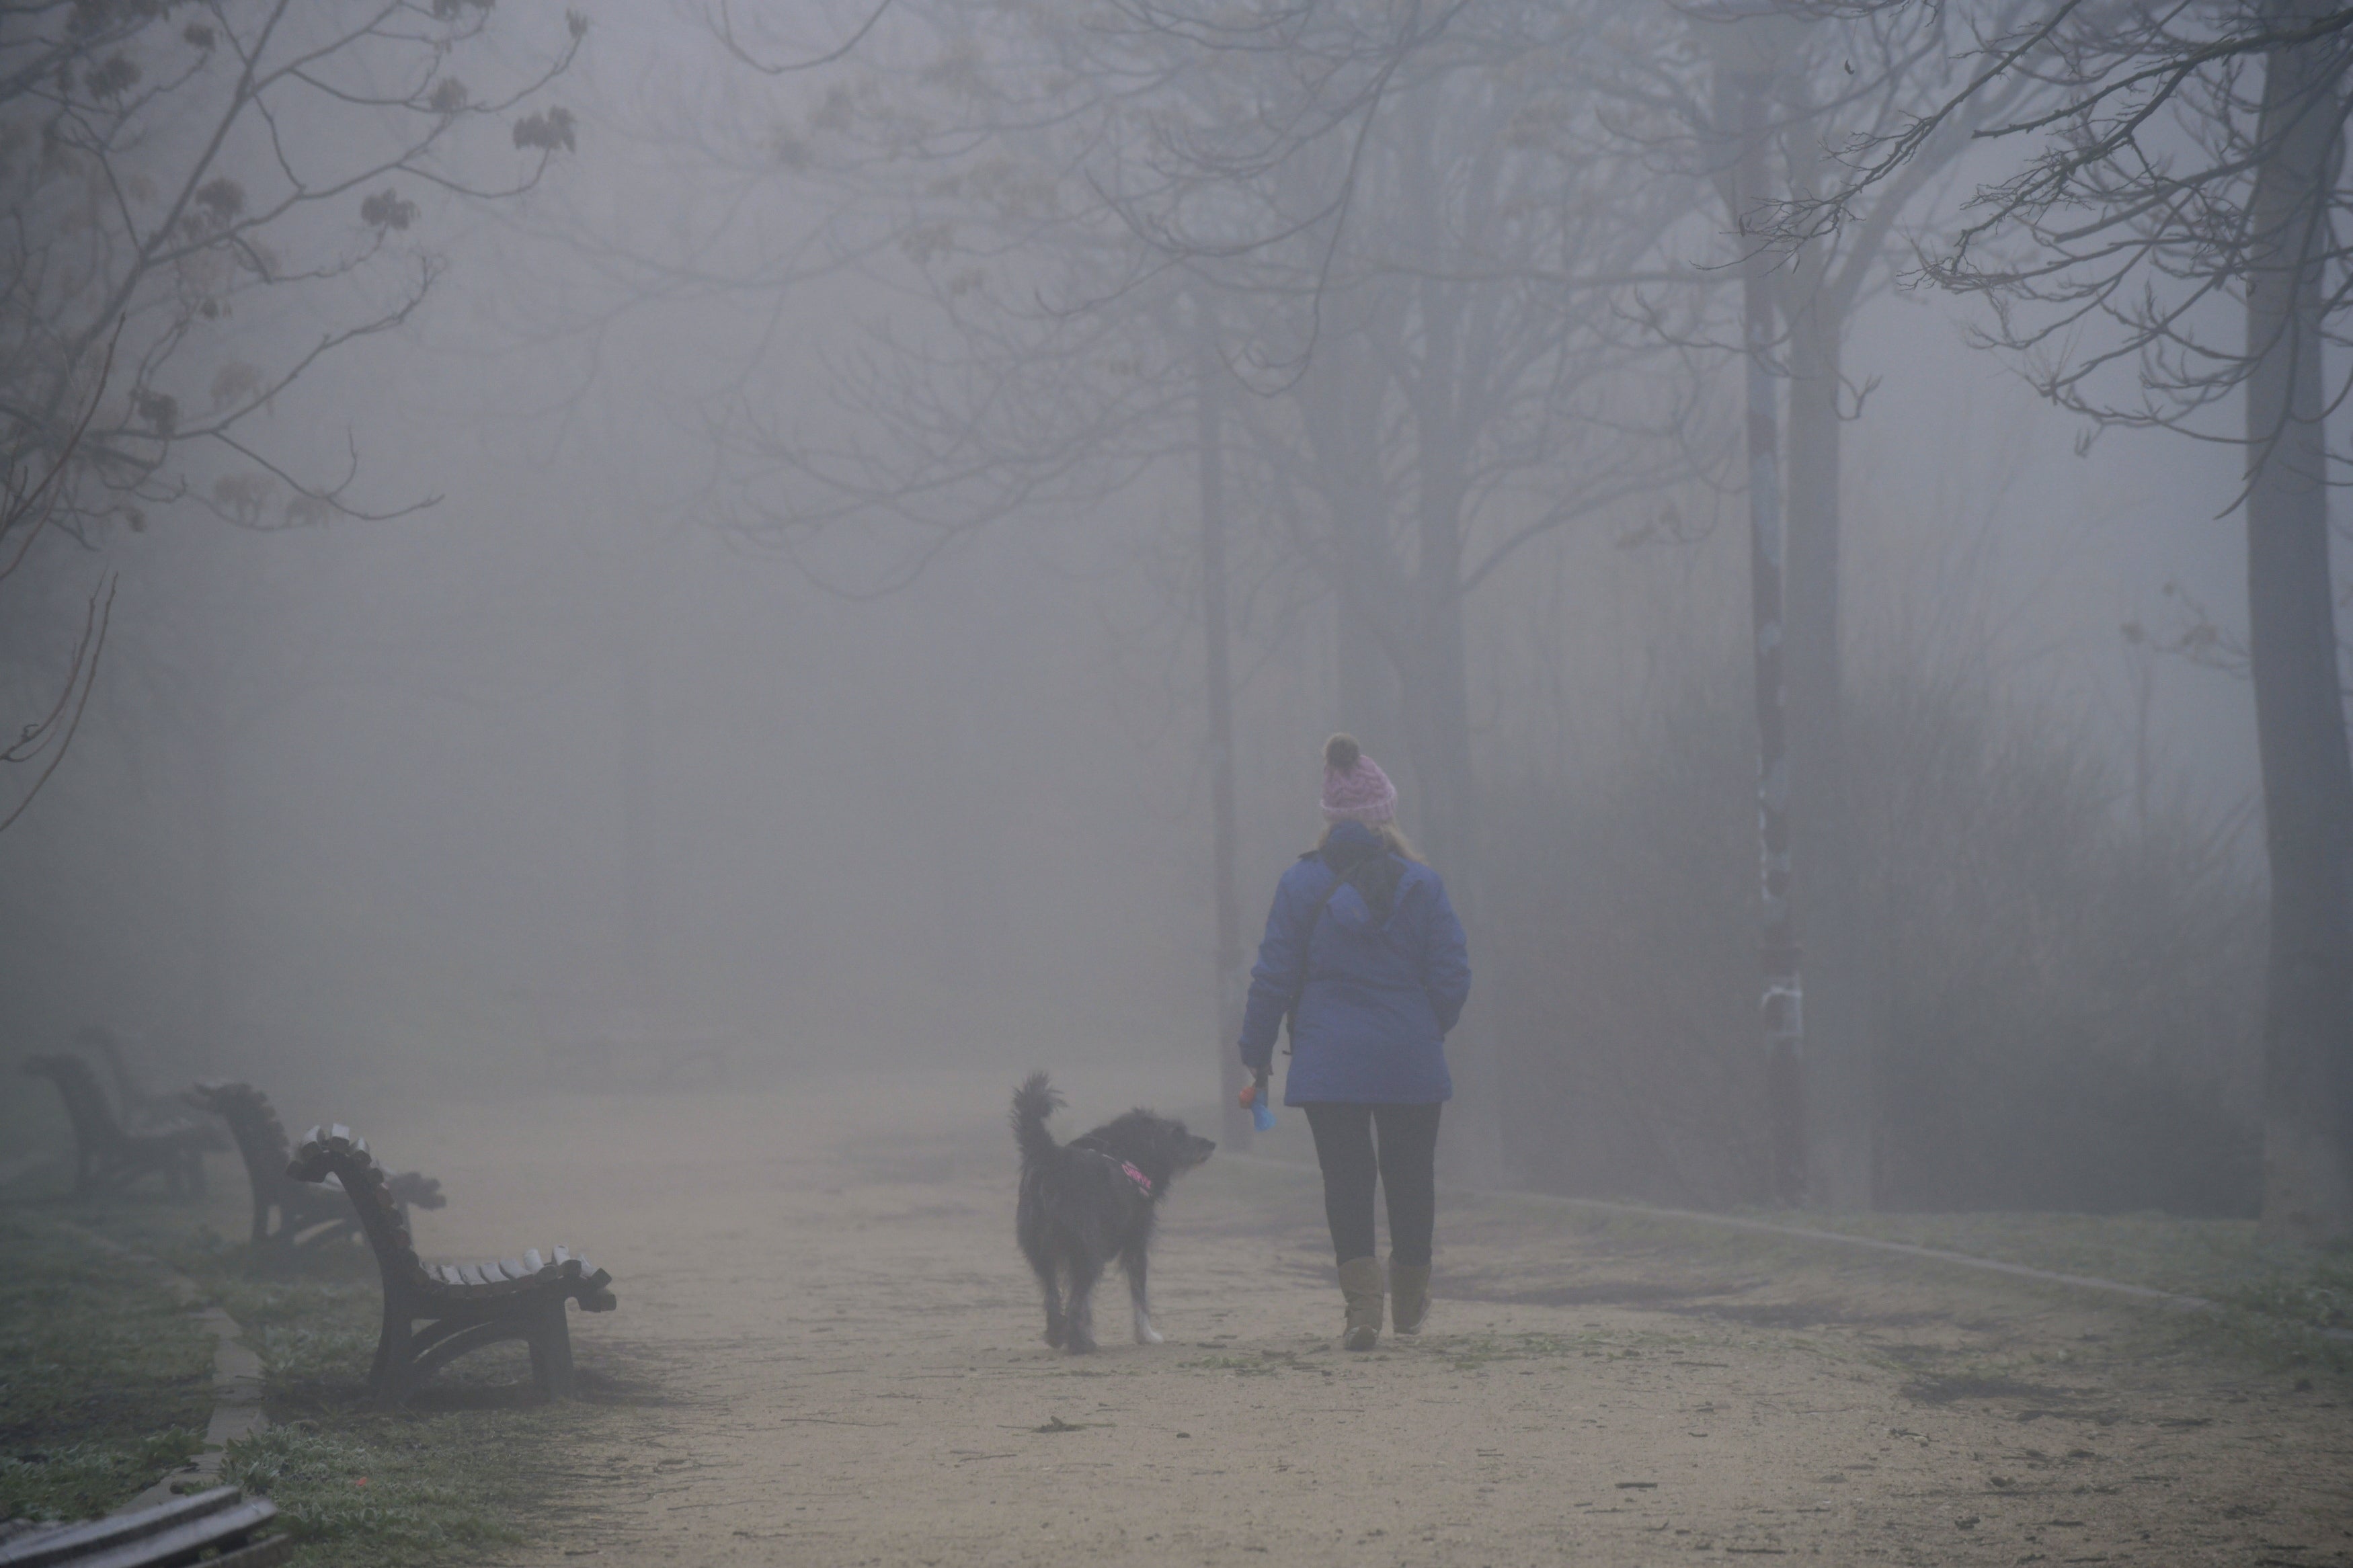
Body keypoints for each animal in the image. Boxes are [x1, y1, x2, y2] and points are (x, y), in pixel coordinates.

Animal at [1012, 1071, 1214, 1354]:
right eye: (1177, 1133)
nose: (1211, 1144)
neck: (1126, 1153)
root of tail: (1052, 1158)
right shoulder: (1136, 1243)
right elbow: (1139, 1294)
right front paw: (1146, 1335)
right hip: (1086, 1250)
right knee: (1075, 1301)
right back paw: (1080, 1344)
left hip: (1041, 1251)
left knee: (1053, 1296)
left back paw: (1057, 1335)